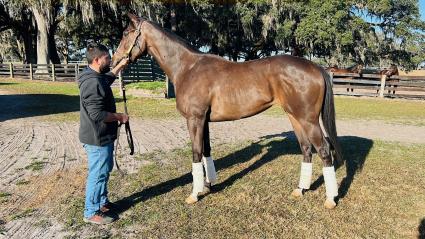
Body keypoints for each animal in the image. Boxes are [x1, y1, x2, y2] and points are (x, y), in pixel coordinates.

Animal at [112, 14, 342, 209]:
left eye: (126, 33)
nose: (114, 62)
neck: (188, 68)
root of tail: (316, 67)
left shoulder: (194, 119)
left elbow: (196, 153)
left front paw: (194, 194)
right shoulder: (203, 121)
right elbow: (206, 150)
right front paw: (208, 185)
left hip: (308, 120)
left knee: (323, 150)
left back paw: (330, 199)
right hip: (294, 116)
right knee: (306, 149)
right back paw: (300, 189)